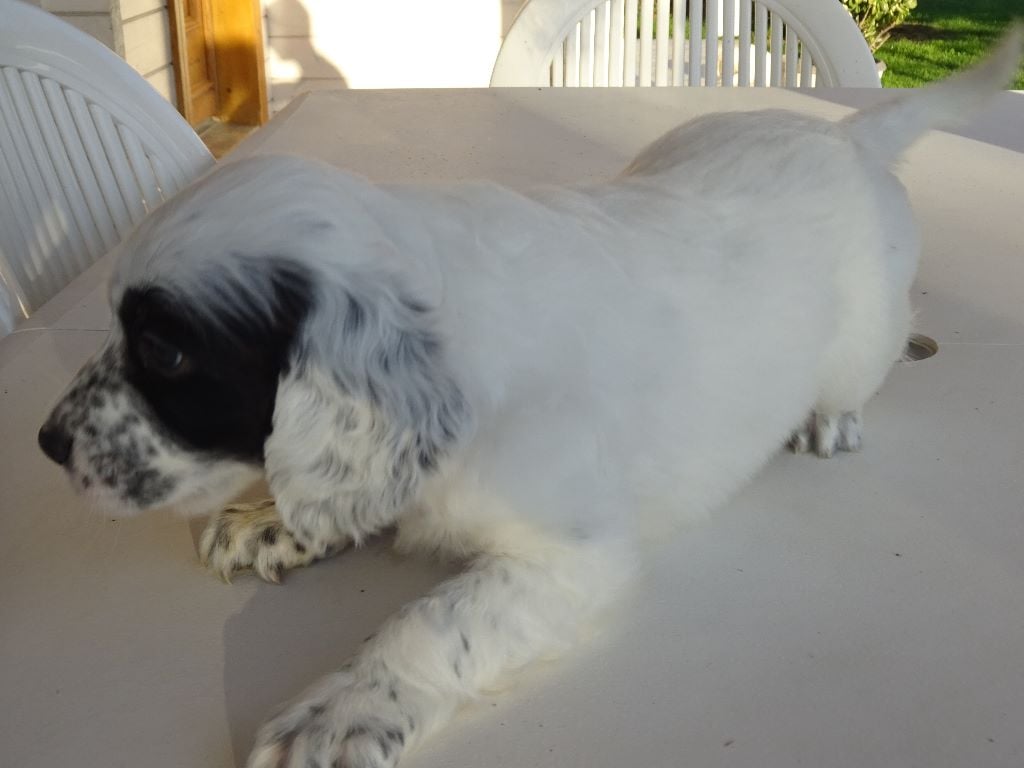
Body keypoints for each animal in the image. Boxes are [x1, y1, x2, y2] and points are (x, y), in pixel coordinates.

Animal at [38, 29, 1021, 768]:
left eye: (165, 351)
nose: (47, 442)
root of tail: (847, 135)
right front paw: (269, 518)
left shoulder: (571, 558)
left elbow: (433, 624)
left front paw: (339, 712)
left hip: (868, 332)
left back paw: (827, 417)